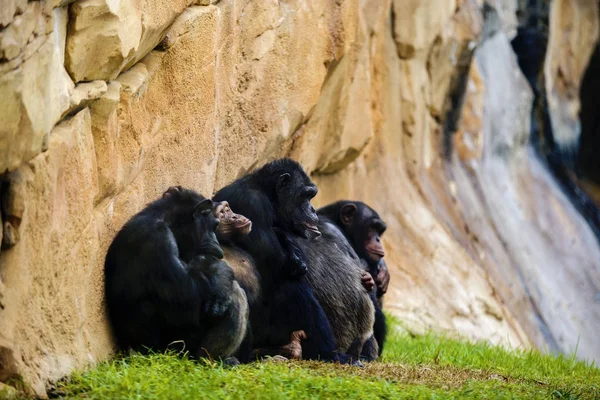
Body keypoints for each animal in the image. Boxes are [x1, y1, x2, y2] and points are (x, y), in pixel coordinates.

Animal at [104, 186, 247, 360]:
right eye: (214, 226)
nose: (217, 242)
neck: (167, 221)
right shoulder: (159, 240)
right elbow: (187, 299)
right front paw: (219, 273)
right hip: (173, 350)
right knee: (235, 295)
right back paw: (209, 360)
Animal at [212, 159, 356, 362]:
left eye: (311, 196)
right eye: (306, 196)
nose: (312, 209)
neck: (268, 195)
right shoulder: (253, 203)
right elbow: (282, 264)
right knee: (292, 286)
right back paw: (329, 354)